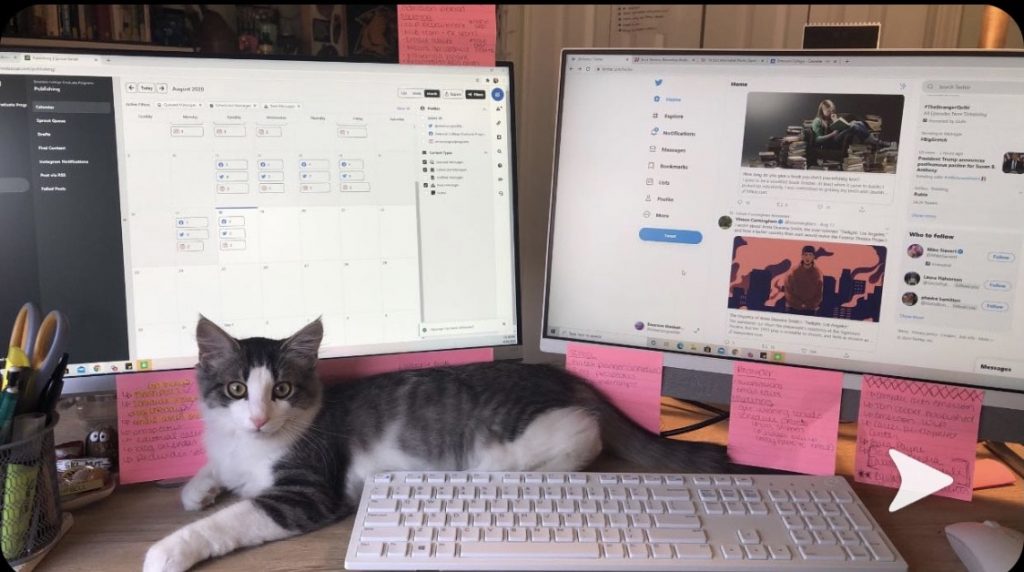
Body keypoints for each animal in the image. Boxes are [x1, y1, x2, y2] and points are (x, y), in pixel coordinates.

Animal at [142, 317, 737, 572]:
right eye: (237, 390)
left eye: (282, 389)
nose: (260, 418)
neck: (251, 448)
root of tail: (562, 375)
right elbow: (214, 471)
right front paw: (197, 488)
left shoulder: (306, 491)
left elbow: (230, 520)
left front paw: (168, 550)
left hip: (520, 437)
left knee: (581, 433)